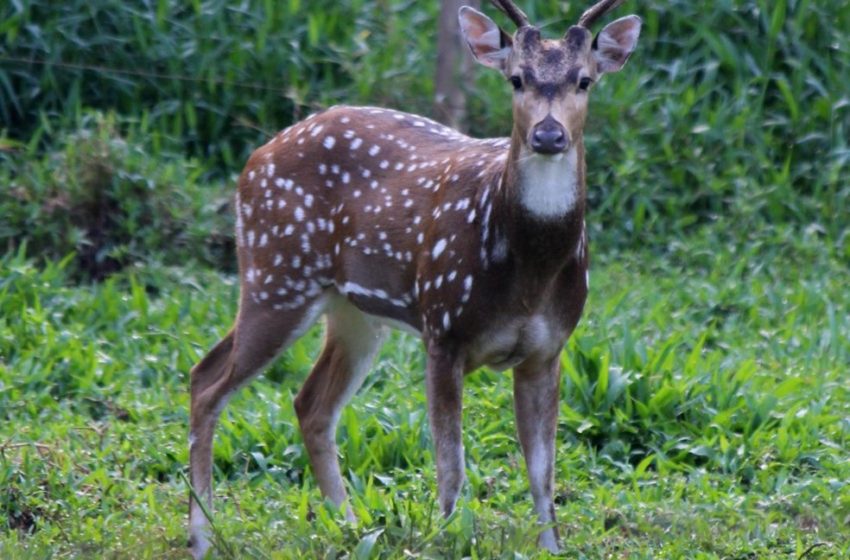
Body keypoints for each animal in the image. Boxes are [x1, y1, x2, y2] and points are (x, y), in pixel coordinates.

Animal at [186, 0, 636, 556]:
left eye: (584, 81)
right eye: (516, 79)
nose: (548, 135)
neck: (528, 278)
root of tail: (254, 159)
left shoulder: (549, 348)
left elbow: (543, 473)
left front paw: (551, 547)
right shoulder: (442, 329)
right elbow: (451, 466)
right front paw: (448, 538)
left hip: (353, 311)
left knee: (310, 403)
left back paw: (350, 526)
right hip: (277, 274)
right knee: (206, 379)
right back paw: (203, 537)